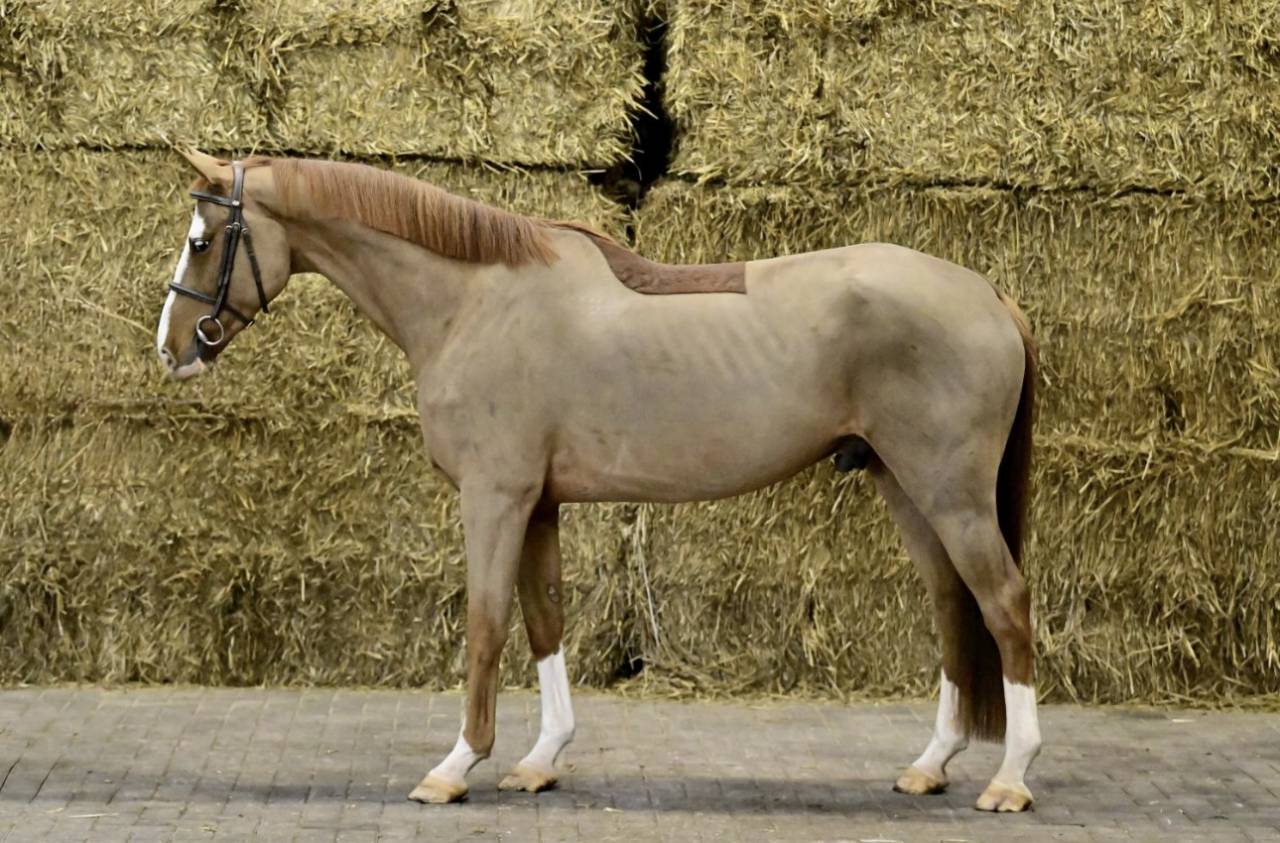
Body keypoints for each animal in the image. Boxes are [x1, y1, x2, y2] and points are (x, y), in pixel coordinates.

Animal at [156, 149, 1042, 812]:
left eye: (204, 239)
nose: (173, 349)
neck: (474, 298)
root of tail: (989, 293)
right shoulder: (538, 502)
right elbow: (545, 620)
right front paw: (540, 757)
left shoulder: (494, 497)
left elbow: (486, 623)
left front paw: (456, 765)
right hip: (907, 487)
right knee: (952, 606)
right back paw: (931, 763)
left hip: (952, 495)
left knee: (1003, 603)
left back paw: (1010, 776)